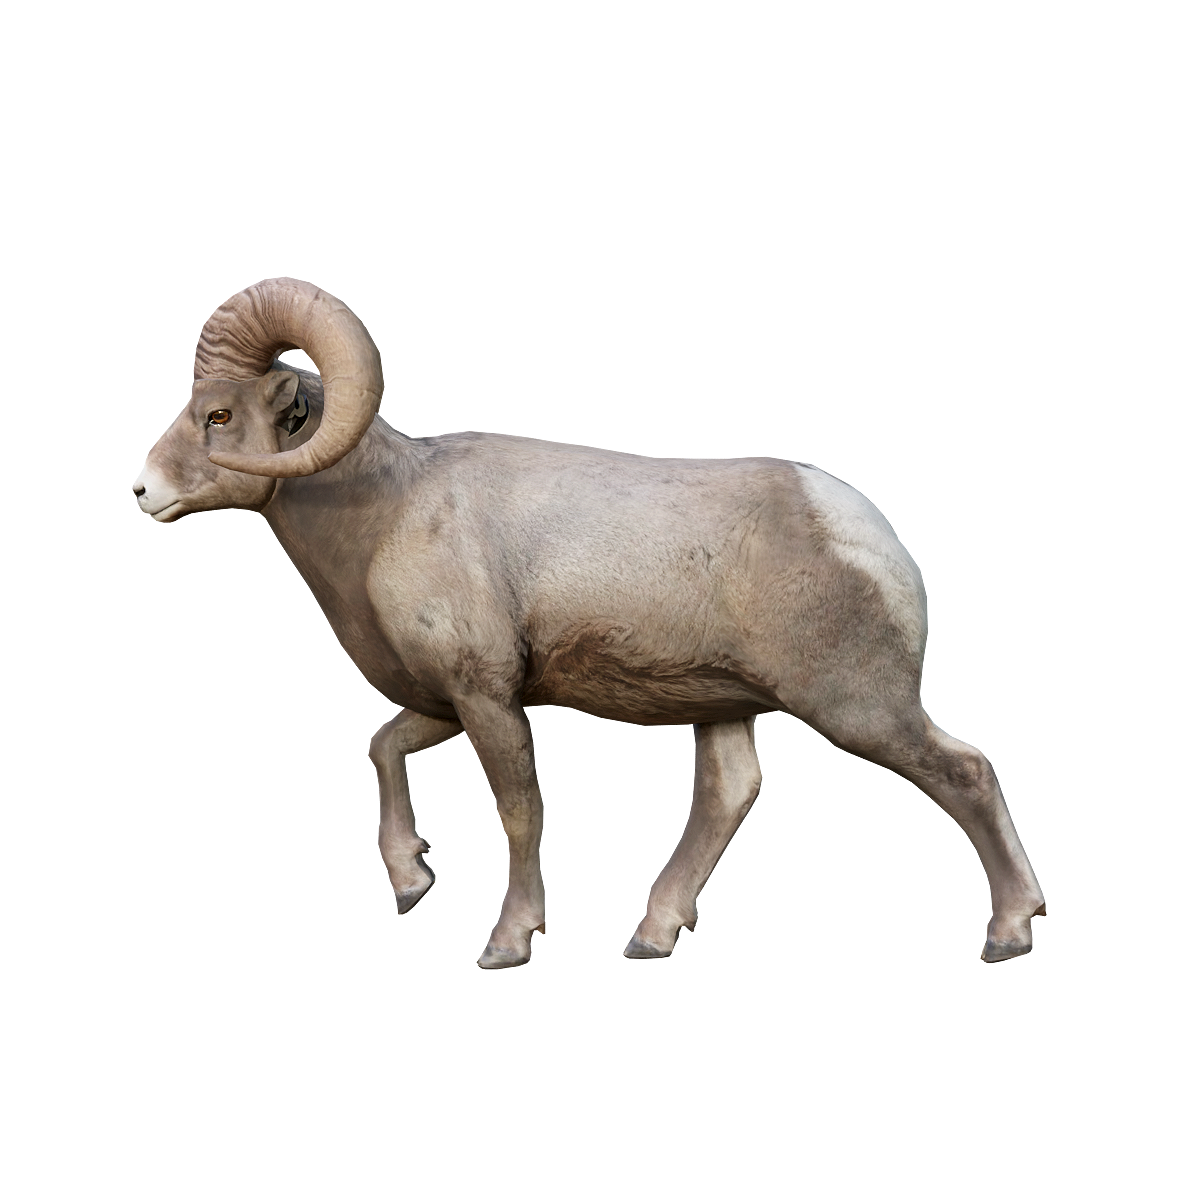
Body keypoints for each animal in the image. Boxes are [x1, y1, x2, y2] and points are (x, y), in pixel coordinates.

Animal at [134, 277, 1046, 968]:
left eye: (219, 416)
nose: (143, 490)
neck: (386, 517)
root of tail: (871, 537)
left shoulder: (488, 696)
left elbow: (518, 811)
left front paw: (507, 943)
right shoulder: (440, 701)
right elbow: (384, 750)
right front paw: (412, 877)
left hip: (854, 708)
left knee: (963, 772)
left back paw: (1007, 933)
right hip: (727, 706)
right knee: (730, 792)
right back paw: (651, 936)